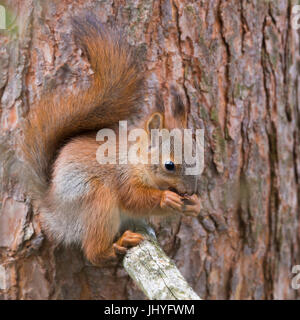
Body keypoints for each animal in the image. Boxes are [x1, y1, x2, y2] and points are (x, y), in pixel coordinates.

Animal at [19, 13, 202, 264]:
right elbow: (134, 199)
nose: (190, 191)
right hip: (97, 201)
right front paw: (166, 197)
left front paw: (195, 205)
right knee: (93, 252)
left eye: (197, 153)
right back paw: (116, 246)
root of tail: (54, 211)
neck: (135, 159)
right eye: (169, 165)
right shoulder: (122, 177)